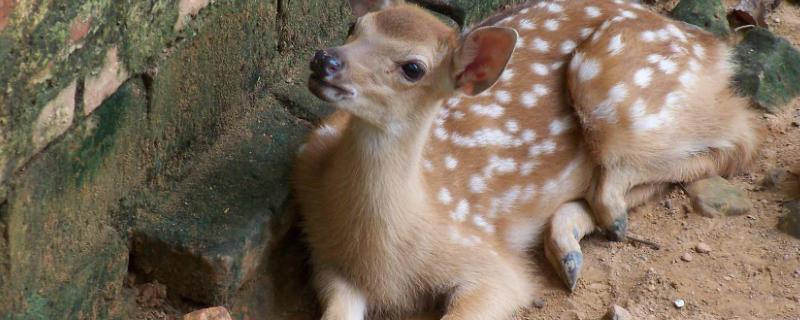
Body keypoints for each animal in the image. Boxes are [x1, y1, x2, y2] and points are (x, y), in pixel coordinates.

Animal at [296, 0, 764, 318]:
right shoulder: (326, 258)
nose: (324, 59)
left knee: (738, 139)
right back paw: (569, 252)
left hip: (622, 102)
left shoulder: (490, 263)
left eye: (413, 67)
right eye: (354, 26)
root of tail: (714, 48)